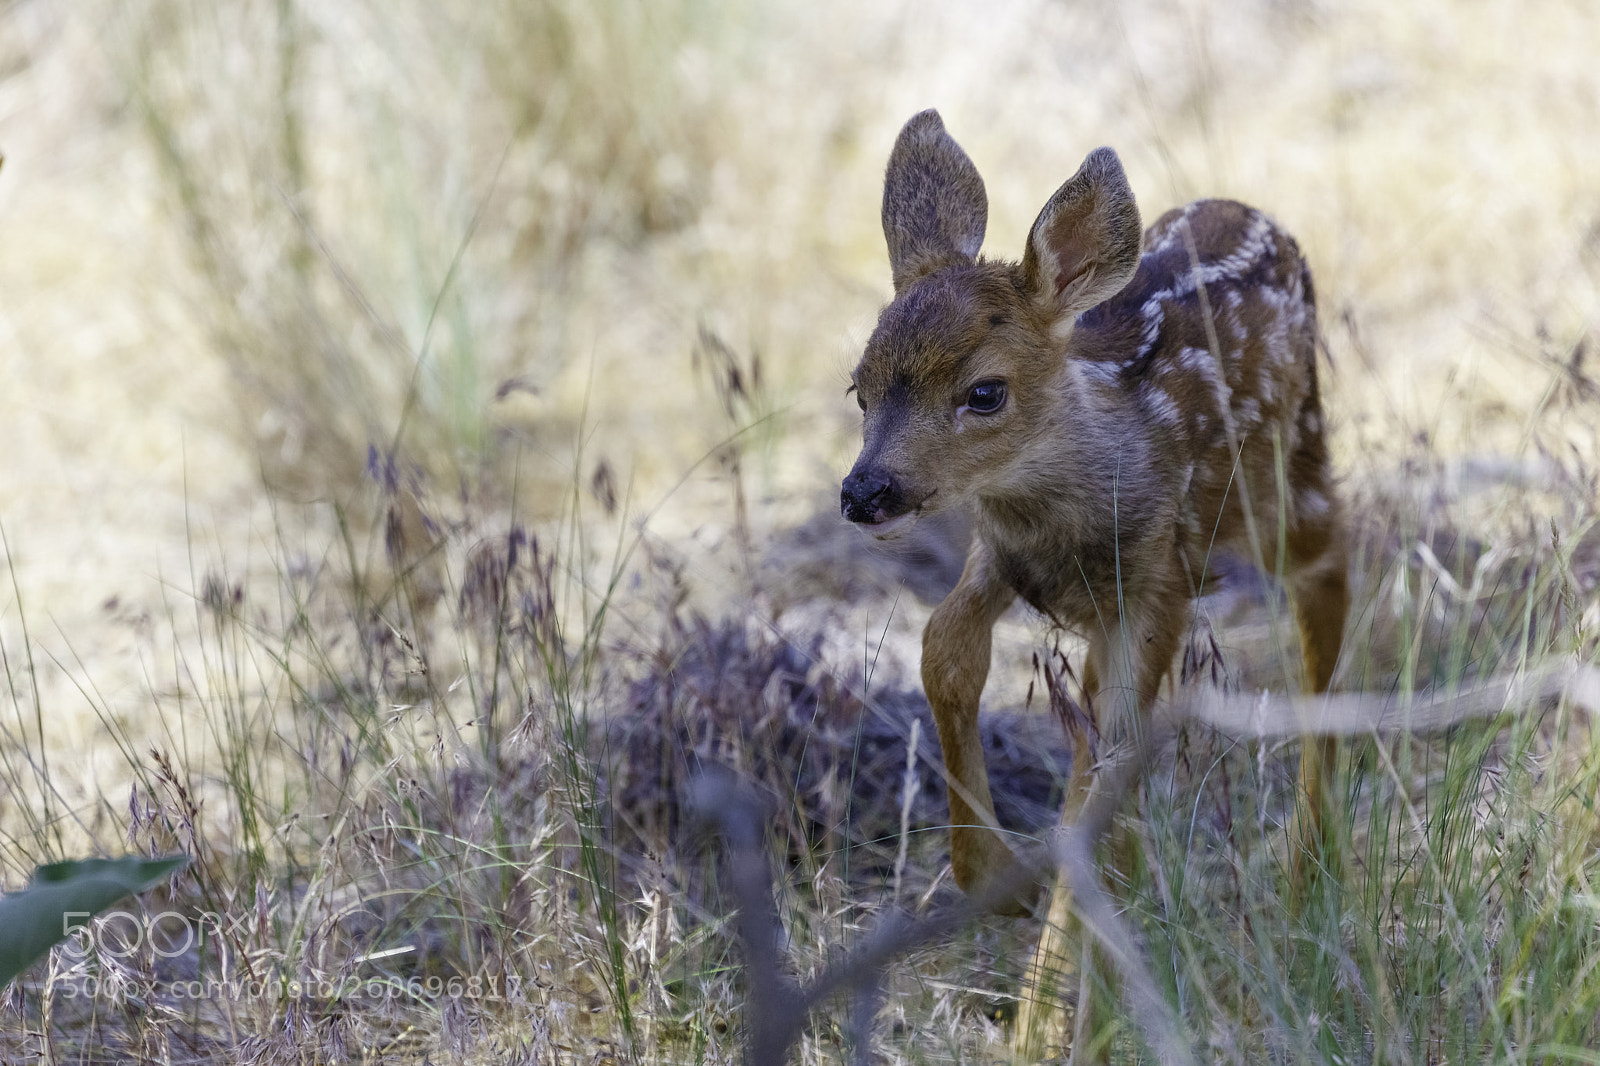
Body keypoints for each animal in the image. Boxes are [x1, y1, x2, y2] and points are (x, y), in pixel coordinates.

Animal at [840, 110, 1349, 1058]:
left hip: (1291, 463)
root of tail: (1252, 210)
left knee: (1333, 579)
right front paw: (995, 878)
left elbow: (1103, 770)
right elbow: (944, 651)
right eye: (860, 388)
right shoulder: (1005, 556)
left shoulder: (1157, 581)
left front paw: (1048, 1026)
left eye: (985, 392)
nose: (865, 493)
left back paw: (1307, 872)